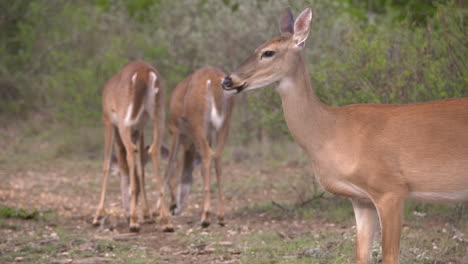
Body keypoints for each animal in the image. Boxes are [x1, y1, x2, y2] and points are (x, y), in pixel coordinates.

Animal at [91, 59, 174, 231]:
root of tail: (145, 73)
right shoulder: (139, 128)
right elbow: (140, 168)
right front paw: (146, 214)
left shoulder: (109, 121)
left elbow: (107, 164)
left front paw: (98, 216)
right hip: (158, 113)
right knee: (153, 150)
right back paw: (165, 221)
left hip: (125, 118)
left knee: (130, 152)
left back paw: (134, 222)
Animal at [166, 67, 236, 228]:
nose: (173, 208)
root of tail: (213, 80)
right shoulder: (207, 133)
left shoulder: (175, 130)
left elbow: (171, 168)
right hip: (225, 123)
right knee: (217, 156)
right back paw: (221, 217)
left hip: (197, 122)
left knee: (207, 155)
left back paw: (206, 218)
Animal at [220, 7, 468, 262]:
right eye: (256, 48)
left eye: (268, 52)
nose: (228, 80)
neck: (333, 132)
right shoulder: (360, 199)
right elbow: (362, 255)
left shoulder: (390, 189)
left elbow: (389, 256)